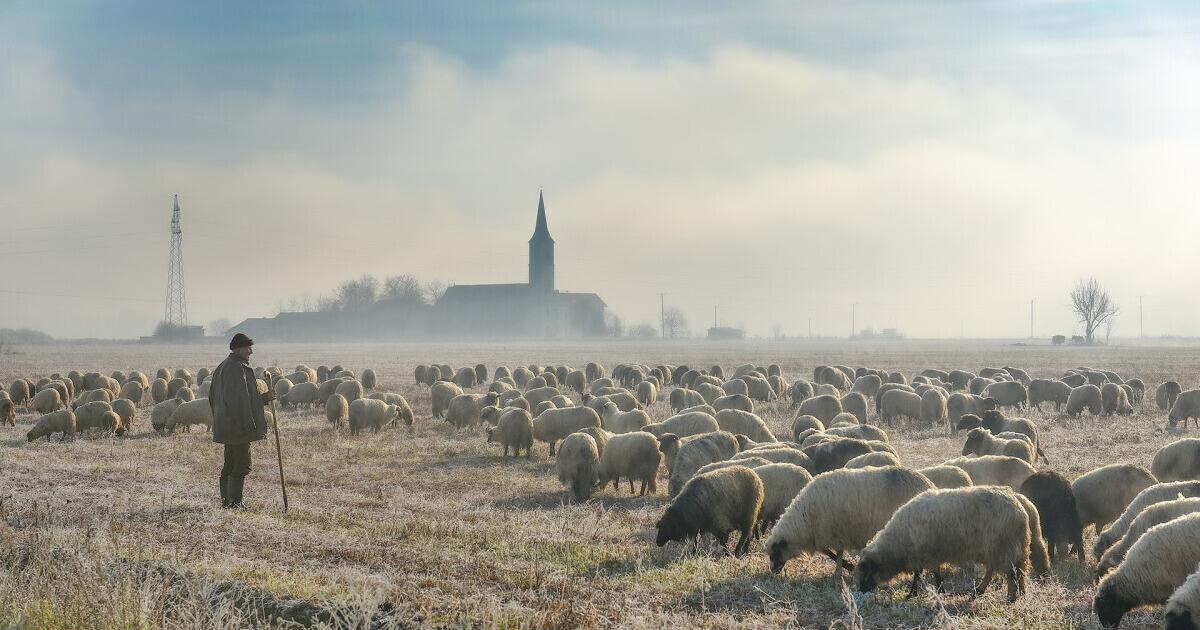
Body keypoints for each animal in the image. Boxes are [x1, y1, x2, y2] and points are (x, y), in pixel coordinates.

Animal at [768, 465, 936, 573]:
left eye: (775, 553)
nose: (772, 571)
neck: (804, 520)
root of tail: (928, 484)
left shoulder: (835, 531)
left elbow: (834, 554)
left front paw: (845, 569)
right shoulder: (826, 534)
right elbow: (832, 553)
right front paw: (842, 570)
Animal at [859, 484, 1036, 602]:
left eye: (866, 571)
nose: (861, 592)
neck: (898, 542)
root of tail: (1017, 503)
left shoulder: (929, 554)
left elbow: (933, 575)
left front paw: (937, 592)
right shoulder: (921, 555)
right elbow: (919, 574)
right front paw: (914, 593)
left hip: (1004, 547)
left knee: (1012, 573)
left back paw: (1011, 597)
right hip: (1000, 549)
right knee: (1007, 571)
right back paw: (986, 592)